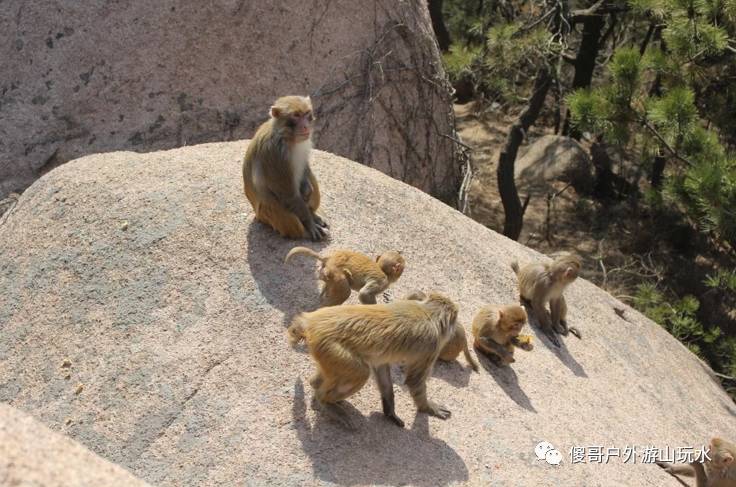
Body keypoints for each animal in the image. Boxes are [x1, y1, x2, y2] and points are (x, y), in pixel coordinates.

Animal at [243, 94, 326, 241]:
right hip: (266, 215)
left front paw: (306, 191)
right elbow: (289, 195)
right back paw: (303, 232)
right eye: (296, 115)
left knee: (311, 179)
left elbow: (305, 170)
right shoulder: (274, 153)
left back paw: (312, 212)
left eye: (306, 114)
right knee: (289, 218)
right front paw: (309, 223)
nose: (305, 126)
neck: (287, 137)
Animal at [284, 292, 458, 428]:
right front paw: (428, 408)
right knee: (361, 373)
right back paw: (325, 401)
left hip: (325, 351)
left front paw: (390, 411)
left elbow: (381, 367)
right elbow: (414, 381)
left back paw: (316, 387)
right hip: (331, 347)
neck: (428, 311)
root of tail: (311, 321)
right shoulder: (432, 345)